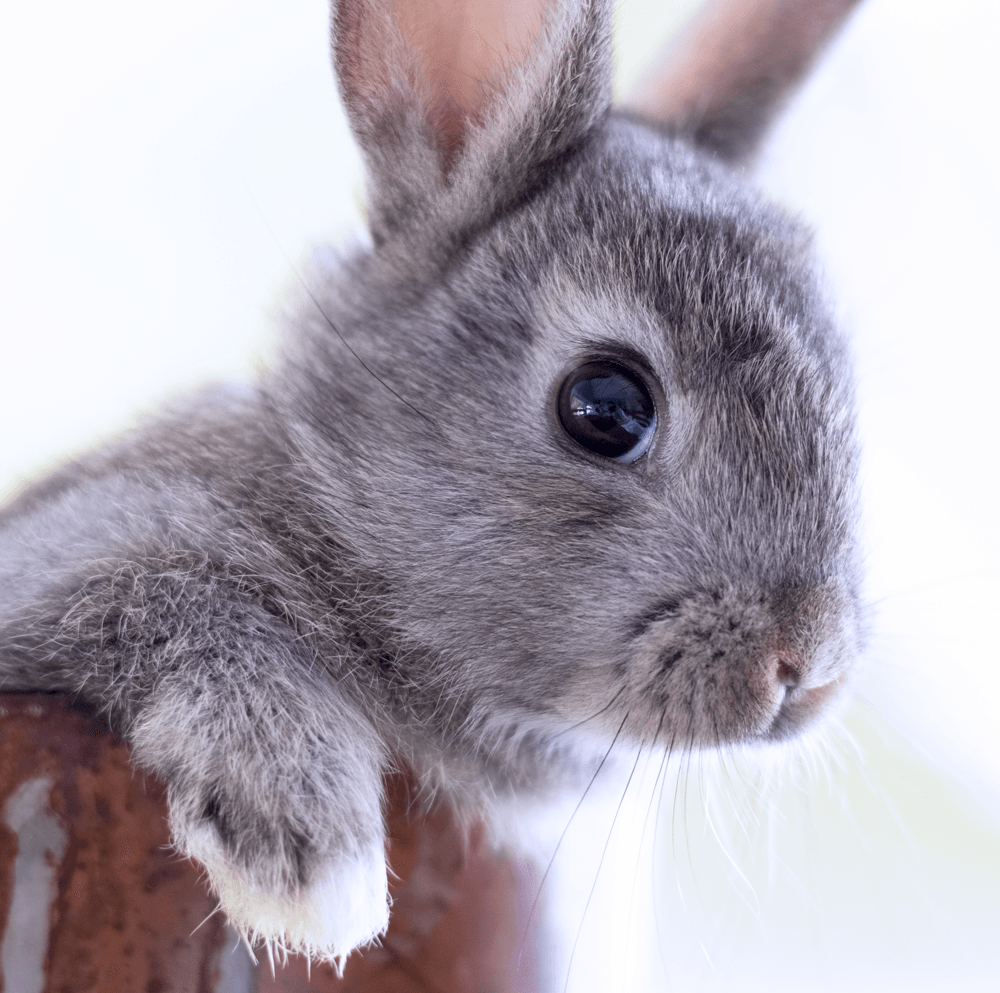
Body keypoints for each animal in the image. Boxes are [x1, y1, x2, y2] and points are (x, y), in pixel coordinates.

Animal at [0, 0, 863, 968]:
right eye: (606, 406)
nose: (807, 665)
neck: (336, 516)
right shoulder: (62, 565)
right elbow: (176, 591)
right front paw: (316, 853)